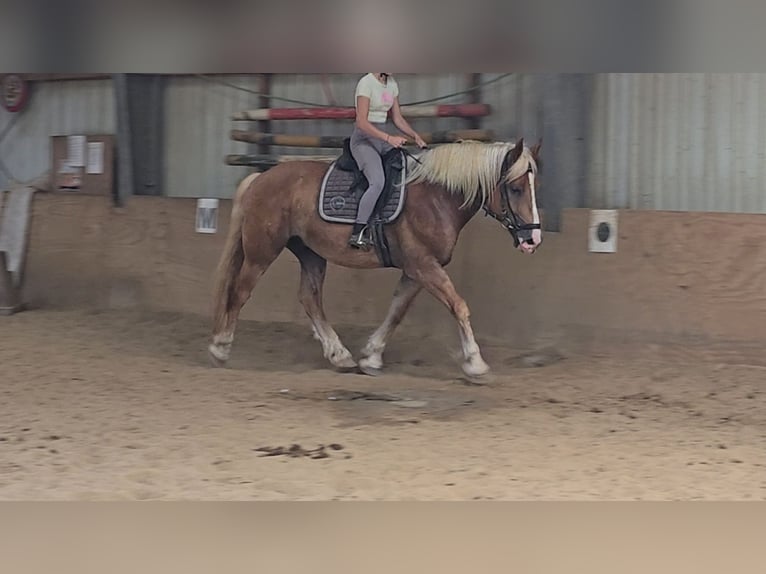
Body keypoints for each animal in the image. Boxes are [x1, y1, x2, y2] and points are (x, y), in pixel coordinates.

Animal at [210, 138, 544, 380]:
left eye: (533, 187)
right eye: (515, 188)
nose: (533, 239)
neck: (436, 197)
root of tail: (260, 178)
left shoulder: (417, 270)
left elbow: (397, 311)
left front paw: (371, 356)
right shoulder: (424, 266)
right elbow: (459, 306)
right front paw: (475, 362)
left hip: (310, 253)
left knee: (309, 298)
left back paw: (340, 355)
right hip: (262, 251)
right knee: (240, 292)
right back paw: (220, 347)